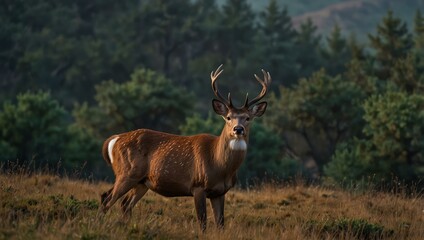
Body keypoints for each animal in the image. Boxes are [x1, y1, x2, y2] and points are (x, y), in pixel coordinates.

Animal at [100, 64, 272, 231]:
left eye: (248, 118)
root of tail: (115, 139)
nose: (238, 129)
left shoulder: (220, 192)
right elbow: (202, 222)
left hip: (142, 182)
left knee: (125, 204)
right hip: (126, 173)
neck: (219, 165)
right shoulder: (198, 185)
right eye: (228, 117)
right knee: (107, 198)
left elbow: (220, 223)